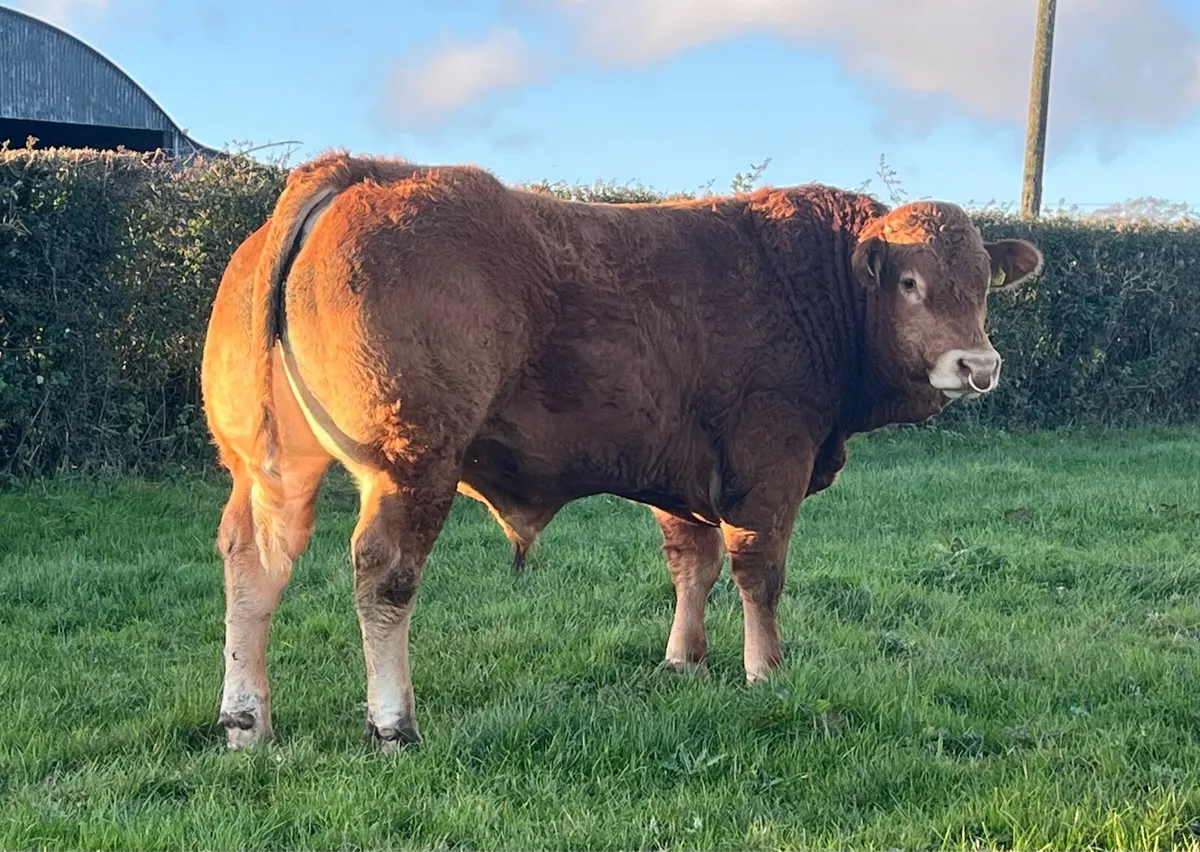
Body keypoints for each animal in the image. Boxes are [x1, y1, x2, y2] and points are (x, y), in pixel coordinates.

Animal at [201, 151, 1042, 750]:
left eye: (984, 284)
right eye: (909, 282)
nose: (978, 366)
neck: (812, 283)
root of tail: (363, 170)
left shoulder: (686, 475)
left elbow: (692, 565)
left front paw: (683, 662)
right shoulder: (770, 465)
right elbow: (759, 575)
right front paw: (766, 672)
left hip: (271, 466)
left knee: (254, 563)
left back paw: (247, 723)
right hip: (412, 462)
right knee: (384, 576)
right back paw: (392, 726)